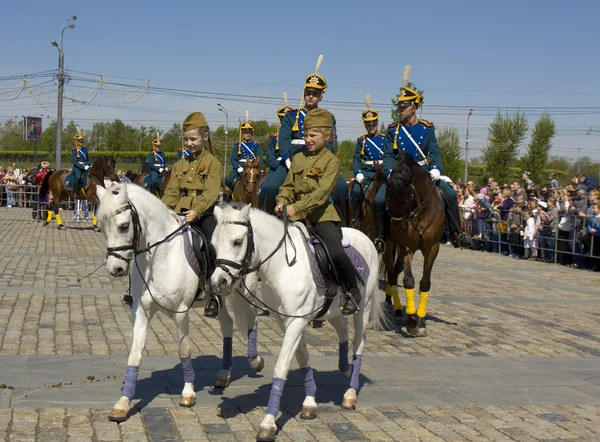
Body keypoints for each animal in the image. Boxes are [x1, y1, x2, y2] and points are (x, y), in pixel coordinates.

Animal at [95, 183, 264, 422]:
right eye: (101, 227)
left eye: (124, 226)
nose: (115, 269)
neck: (158, 257)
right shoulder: (141, 312)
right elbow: (135, 354)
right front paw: (123, 403)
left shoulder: (181, 313)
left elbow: (184, 349)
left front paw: (188, 393)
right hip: (220, 295)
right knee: (227, 325)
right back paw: (224, 374)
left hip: (245, 293)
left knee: (253, 321)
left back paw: (255, 361)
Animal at [212, 205, 390, 442]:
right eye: (213, 244)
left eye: (237, 242)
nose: (218, 283)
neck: (282, 266)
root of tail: (365, 237)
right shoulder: (285, 321)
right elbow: (302, 357)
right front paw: (309, 403)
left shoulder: (296, 322)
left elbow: (281, 367)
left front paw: (268, 423)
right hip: (331, 310)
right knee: (342, 328)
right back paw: (344, 369)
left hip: (364, 307)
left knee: (358, 344)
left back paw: (350, 394)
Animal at [384, 154, 446, 336]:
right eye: (388, 198)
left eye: (405, 200)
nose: (396, 227)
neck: (421, 211)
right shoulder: (407, 248)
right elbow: (408, 280)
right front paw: (411, 320)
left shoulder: (433, 248)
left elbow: (425, 283)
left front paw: (421, 321)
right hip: (389, 244)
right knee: (392, 274)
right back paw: (397, 310)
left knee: (395, 270)